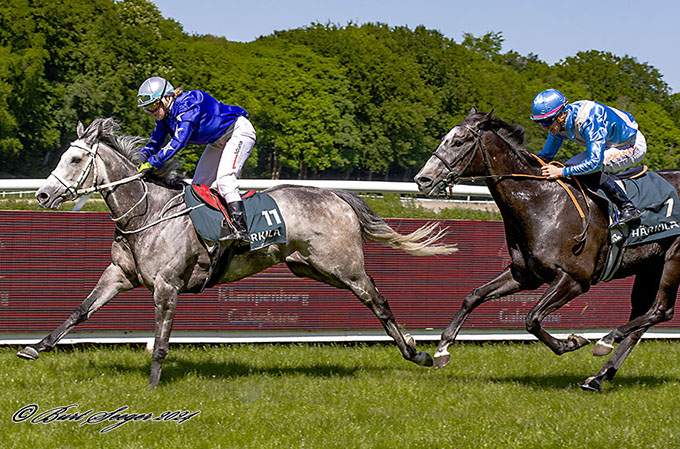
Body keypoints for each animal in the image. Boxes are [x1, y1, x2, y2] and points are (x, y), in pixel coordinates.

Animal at [17, 119, 456, 384]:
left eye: (75, 158)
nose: (42, 194)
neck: (149, 211)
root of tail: (337, 195)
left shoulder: (167, 286)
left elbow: (161, 337)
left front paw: (154, 383)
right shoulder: (119, 275)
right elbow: (80, 311)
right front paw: (34, 347)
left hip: (343, 266)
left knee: (378, 299)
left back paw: (421, 353)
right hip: (310, 267)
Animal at [412, 107, 676, 388]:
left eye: (459, 142)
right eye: (444, 138)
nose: (422, 179)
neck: (542, 202)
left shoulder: (574, 278)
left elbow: (532, 319)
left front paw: (572, 342)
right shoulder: (525, 275)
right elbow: (474, 296)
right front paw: (442, 349)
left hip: (673, 258)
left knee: (661, 310)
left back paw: (605, 341)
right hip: (651, 266)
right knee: (643, 317)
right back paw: (598, 376)